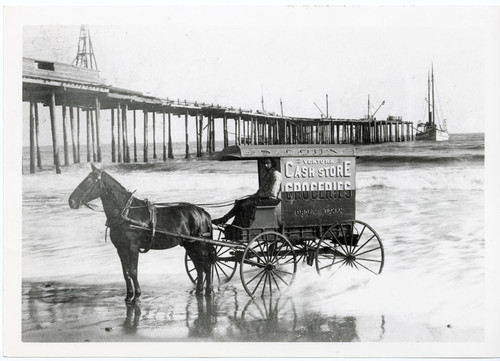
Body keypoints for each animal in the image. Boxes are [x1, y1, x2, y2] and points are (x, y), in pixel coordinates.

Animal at [68, 165, 213, 302]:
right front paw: (128, 296)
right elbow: (126, 272)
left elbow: (133, 271)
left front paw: (137, 295)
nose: (71, 201)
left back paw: (208, 290)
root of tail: (202, 212)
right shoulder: (121, 249)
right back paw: (200, 290)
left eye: (90, 180)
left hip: (199, 245)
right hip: (190, 245)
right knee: (199, 267)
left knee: (206, 265)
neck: (126, 212)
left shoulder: (133, 247)